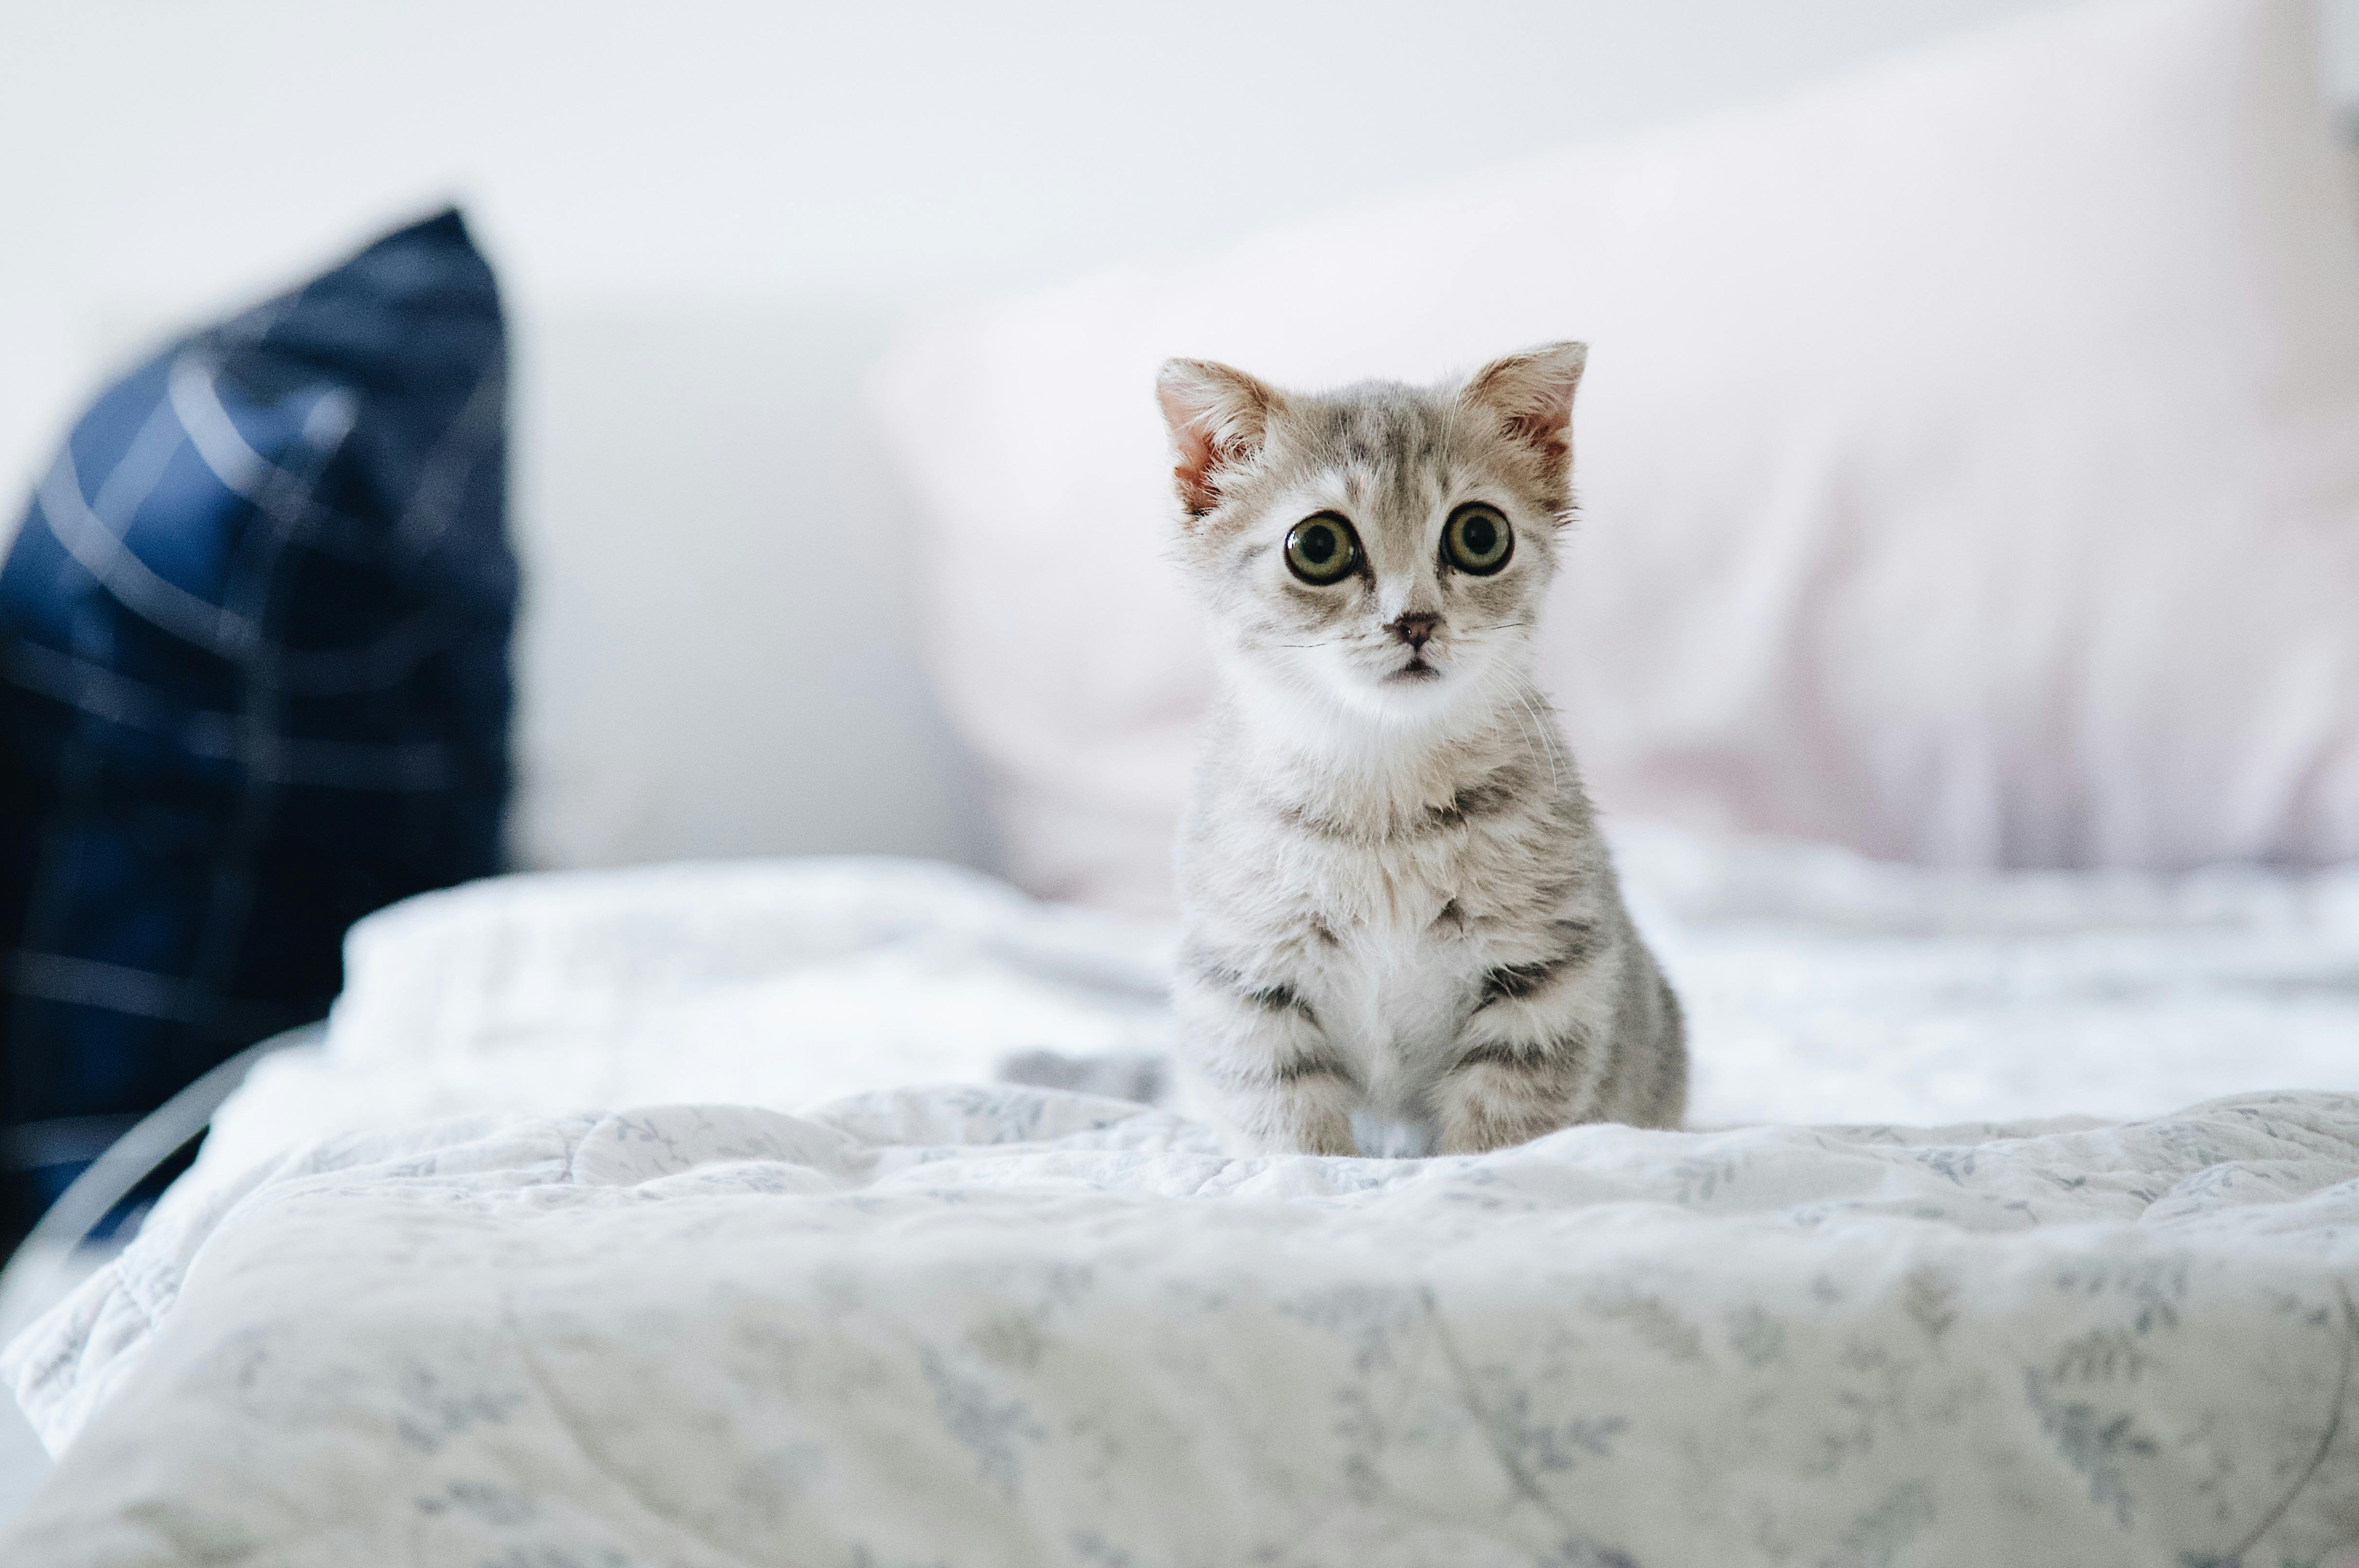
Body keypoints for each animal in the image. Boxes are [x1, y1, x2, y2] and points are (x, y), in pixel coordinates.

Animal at [1156, 341, 1680, 1150]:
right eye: (1317, 545)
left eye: (1480, 536)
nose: (1415, 622)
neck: (1384, 808)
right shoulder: (1242, 984)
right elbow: (1288, 1128)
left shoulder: (1547, 982)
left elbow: (1495, 1136)